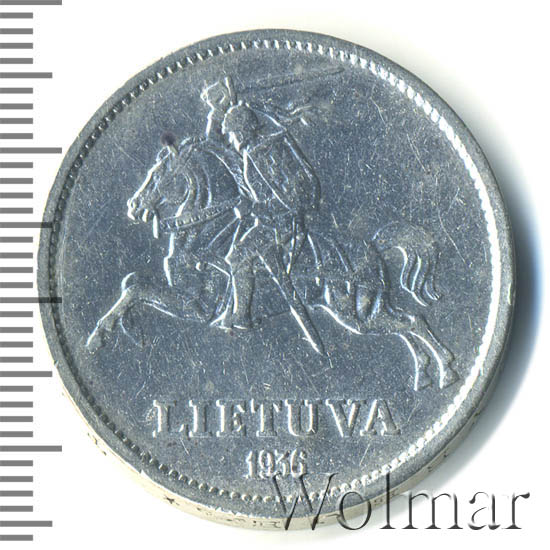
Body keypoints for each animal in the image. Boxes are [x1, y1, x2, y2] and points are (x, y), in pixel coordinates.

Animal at [86, 137, 457, 391]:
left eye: (159, 174)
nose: (134, 206)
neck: (206, 231)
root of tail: (373, 248)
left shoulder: (198, 306)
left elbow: (137, 289)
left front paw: (101, 335)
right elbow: (133, 283)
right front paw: (125, 330)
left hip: (356, 314)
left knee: (413, 323)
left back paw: (446, 370)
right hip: (369, 311)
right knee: (411, 323)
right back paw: (426, 374)